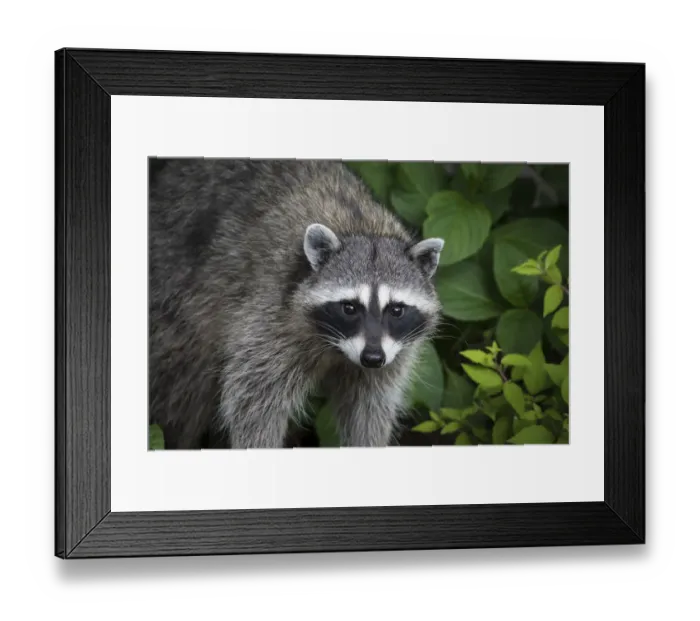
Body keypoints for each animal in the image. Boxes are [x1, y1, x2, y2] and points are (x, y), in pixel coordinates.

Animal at [148, 158, 444, 449]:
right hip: (176, 294)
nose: (372, 357)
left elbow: (370, 407)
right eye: (349, 308)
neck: (362, 228)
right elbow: (254, 401)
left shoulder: (393, 353)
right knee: (181, 394)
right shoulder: (269, 317)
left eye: (396, 310)